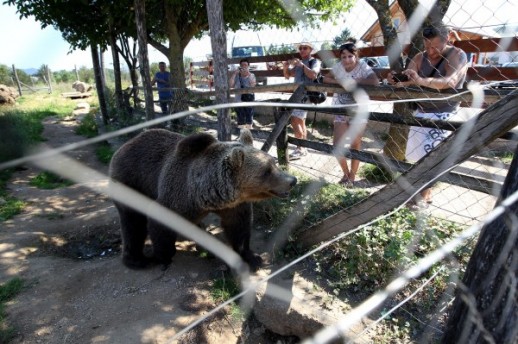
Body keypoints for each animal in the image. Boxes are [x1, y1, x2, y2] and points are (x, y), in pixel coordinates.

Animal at [108, 129, 298, 272]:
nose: (292, 180)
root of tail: (124, 145)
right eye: (267, 171)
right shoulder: (176, 196)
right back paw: (138, 260)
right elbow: (160, 222)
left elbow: (239, 227)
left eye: (273, 162)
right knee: (132, 222)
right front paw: (164, 256)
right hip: (130, 180)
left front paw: (253, 258)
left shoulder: (233, 206)